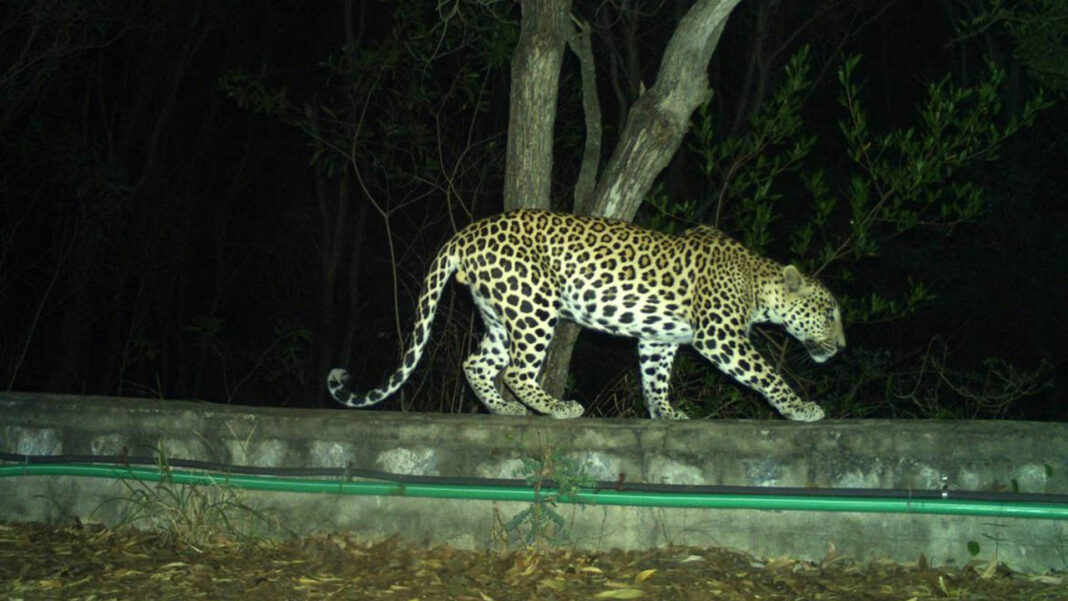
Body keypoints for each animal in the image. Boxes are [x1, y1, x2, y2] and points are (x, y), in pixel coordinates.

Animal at [328, 209, 845, 421]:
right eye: (829, 312)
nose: (841, 347)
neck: (759, 281)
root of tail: (467, 232)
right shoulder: (721, 335)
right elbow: (767, 373)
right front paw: (800, 408)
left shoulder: (658, 338)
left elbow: (655, 377)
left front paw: (665, 413)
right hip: (534, 303)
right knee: (517, 370)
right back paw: (556, 407)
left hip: (500, 312)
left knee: (477, 363)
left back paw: (505, 409)